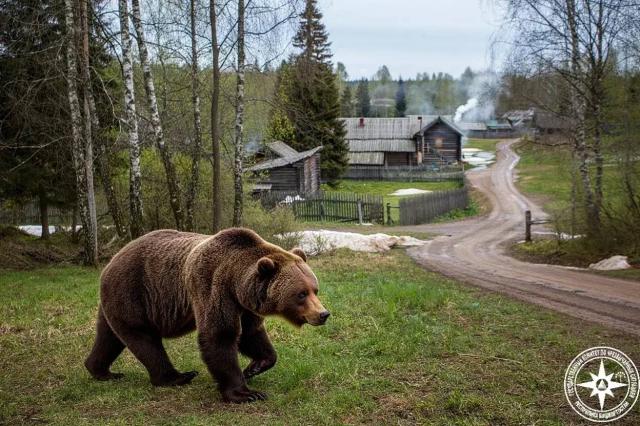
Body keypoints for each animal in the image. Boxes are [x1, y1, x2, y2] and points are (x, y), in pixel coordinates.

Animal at [84, 228, 330, 403]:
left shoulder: (245, 305)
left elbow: (251, 333)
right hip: (133, 292)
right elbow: (219, 335)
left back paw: (101, 370)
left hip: (115, 302)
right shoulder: (212, 287)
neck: (236, 282)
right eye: (301, 294)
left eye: (314, 289)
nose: (323, 314)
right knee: (144, 341)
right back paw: (177, 377)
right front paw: (246, 393)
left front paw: (254, 367)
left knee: (110, 336)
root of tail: (111, 261)